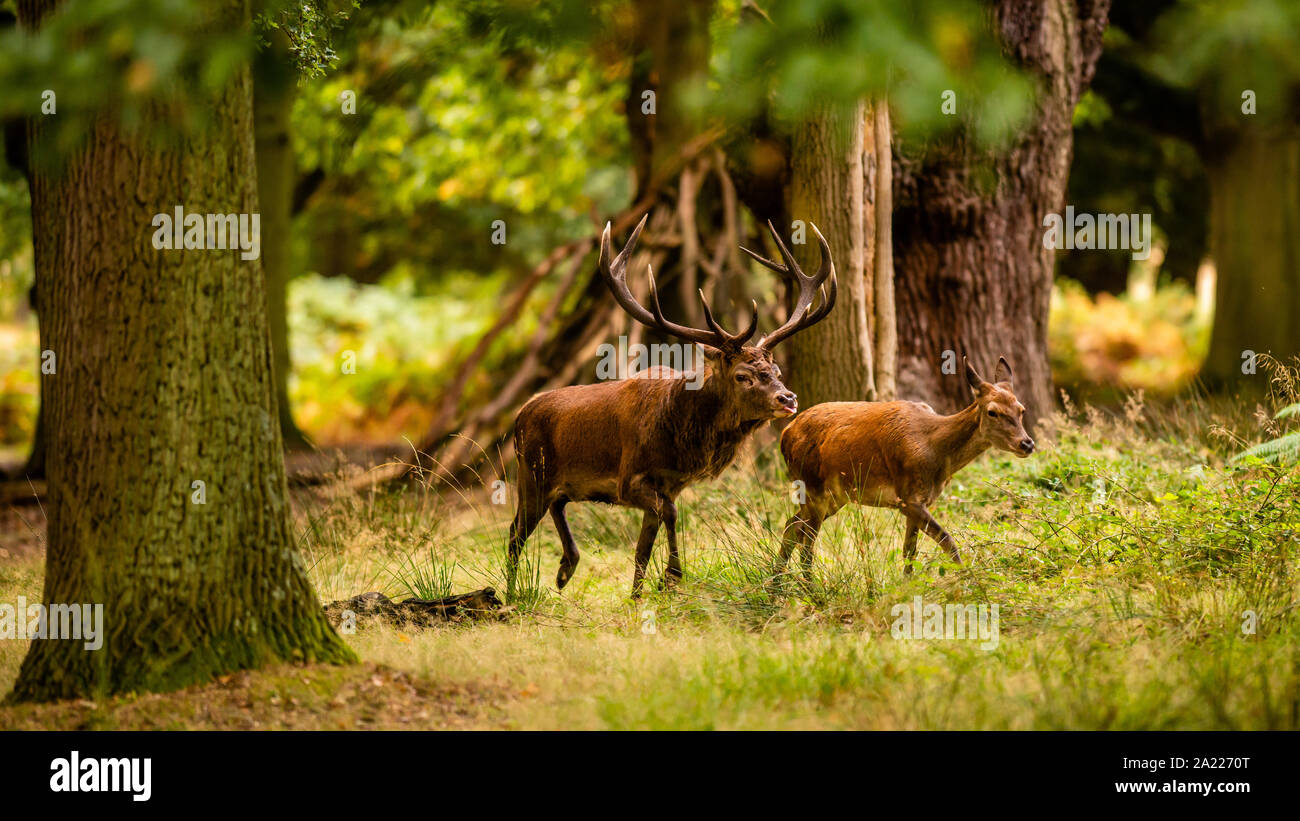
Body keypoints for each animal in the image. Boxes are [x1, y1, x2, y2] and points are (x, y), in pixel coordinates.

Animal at [507, 215, 837, 598]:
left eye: (777, 371)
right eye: (742, 376)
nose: (788, 398)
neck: (679, 437)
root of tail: (519, 416)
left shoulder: (669, 483)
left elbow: (643, 547)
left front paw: (639, 595)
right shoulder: (629, 479)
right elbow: (670, 514)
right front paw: (672, 576)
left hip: (557, 481)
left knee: (556, 506)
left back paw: (565, 568)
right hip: (531, 472)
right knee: (515, 533)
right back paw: (513, 593)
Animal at [777, 356, 1035, 579]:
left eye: (1021, 409)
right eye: (993, 411)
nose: (1027, 443)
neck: (935, 451)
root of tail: (785, 434)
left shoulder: (918, 501)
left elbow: (909, 551)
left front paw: (907, 587)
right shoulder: (908, 497)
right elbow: (947, 541)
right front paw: (969, 581)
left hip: (835, 495)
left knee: (792, 526)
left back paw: (777, 584)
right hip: (812, 487)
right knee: (807, 542)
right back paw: (811, 592)